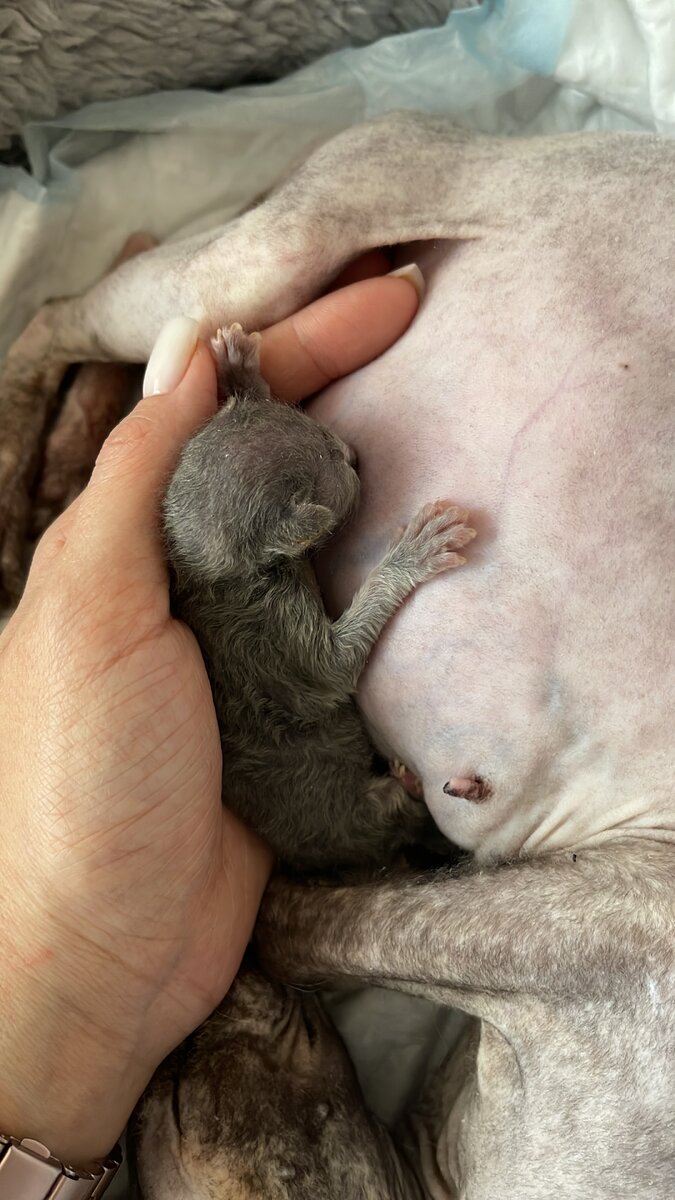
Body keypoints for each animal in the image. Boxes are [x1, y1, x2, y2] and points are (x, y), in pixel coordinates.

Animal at [162, 326, 473, 873]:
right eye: (339, 468)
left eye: (320, 432)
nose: (355, 454)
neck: (213, 571)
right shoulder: (273, 630)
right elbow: (335, 667)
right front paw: (412, 553)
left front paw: (238, 371)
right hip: (360, 817)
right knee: (397, 817)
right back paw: (415, 789)